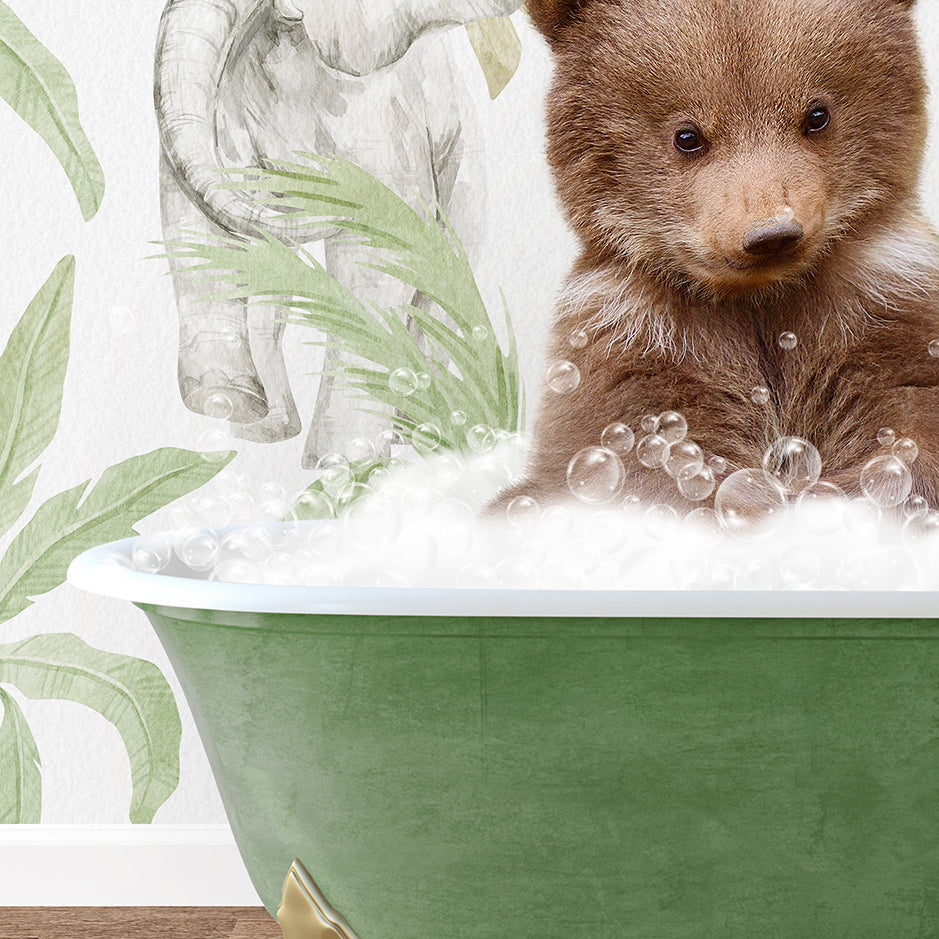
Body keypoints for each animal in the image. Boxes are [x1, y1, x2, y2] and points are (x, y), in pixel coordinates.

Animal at [154, 0, 520, 466]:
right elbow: (197, 219)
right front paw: (224, 399)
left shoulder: (382, 115)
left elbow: (381, 248)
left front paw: (343, 465)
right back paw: (266, 431)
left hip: (464, 165)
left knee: (443, 280)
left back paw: (418, 433)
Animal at [496, 0, 939, 516]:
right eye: (687, 136)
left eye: (817, 114)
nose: (771, 234)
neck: (759, 299)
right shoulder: (639, 343)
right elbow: (656, 458)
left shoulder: (881, 304)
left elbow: (905, 418)